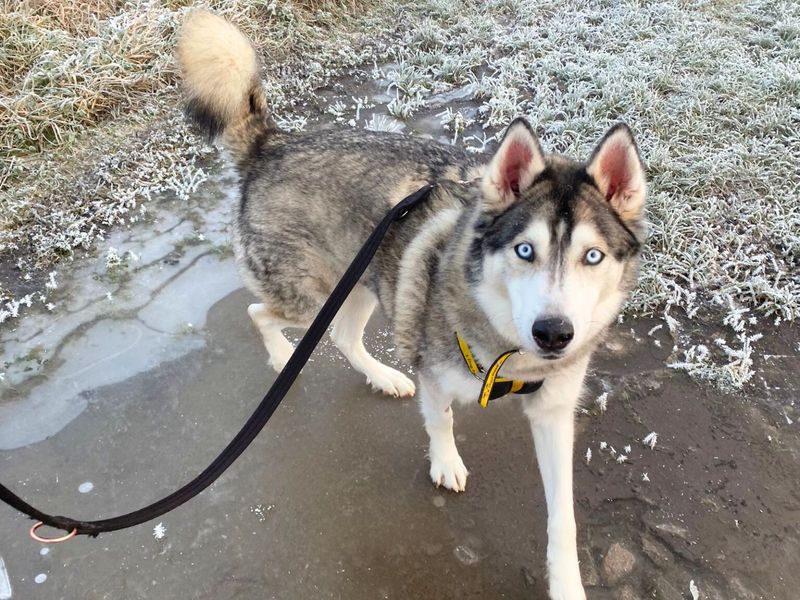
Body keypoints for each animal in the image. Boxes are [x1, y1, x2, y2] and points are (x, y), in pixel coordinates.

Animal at [178, 11, 648, 596]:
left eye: (592, 256)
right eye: (525, 250)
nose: (555, 332)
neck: (507, 352)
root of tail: (272, 145)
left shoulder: (554, 410)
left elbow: (563, 516)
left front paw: (566, 582)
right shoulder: (435, 370)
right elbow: (441, 420)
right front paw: (445, 462)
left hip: (364, 284)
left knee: (343, 335)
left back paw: (381, 376)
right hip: (313, 296)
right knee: (259, 313)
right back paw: (285, 356)